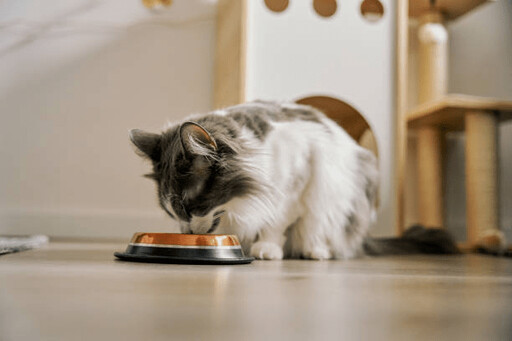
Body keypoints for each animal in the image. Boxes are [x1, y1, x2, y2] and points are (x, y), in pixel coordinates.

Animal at [130, 99, 458, 258]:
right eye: (172, 213)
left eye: (191, 208)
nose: (185, 231)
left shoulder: (295, 183)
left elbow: (276, 223)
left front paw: (267, 249)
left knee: (320, 232)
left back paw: (316, 252)